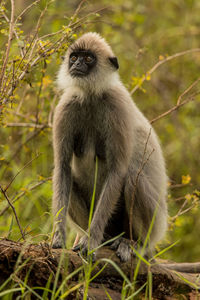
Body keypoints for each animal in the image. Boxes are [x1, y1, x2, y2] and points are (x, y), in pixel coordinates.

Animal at [51, 33, 167, 262]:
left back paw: (133, 244)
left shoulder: (116, 107)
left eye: (88, 59)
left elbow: (117, 171)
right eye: (74, 57)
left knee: (132, 177)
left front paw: (92, 241)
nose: (76, 65)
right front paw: (59, 237)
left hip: (154, 223)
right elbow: (62, 167)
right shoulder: (67, 105)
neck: (91, 96)